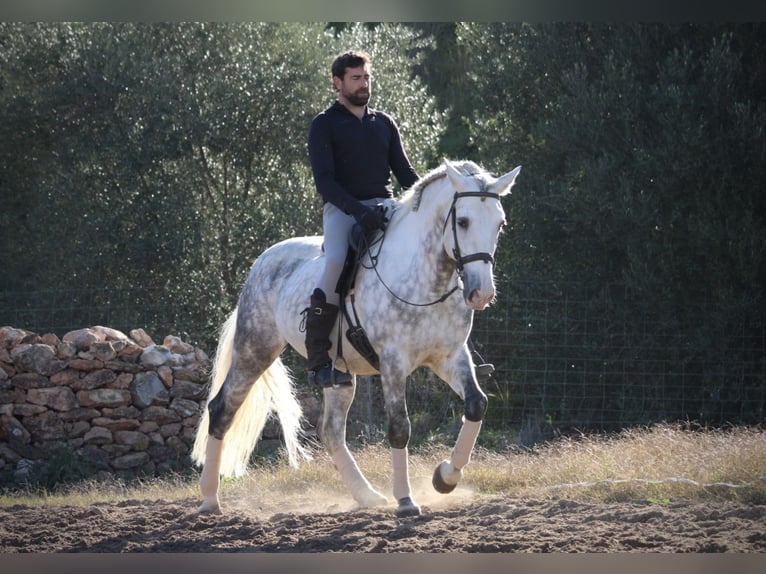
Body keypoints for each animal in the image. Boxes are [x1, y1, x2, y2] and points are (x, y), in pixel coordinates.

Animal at [191, 160, 520, 520]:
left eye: (500, 224)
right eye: (463, 221)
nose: (481, 293)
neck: (426, 279)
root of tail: (262, 262)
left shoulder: (450, 357)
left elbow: (476, 405)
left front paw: (445, 478)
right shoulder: (393, 363)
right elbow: (399, 427)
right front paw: (406, 500)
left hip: (339, 374)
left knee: (331, 431)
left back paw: (368, 496)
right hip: (255, 350)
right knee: (221, 409)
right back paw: (209, 499)